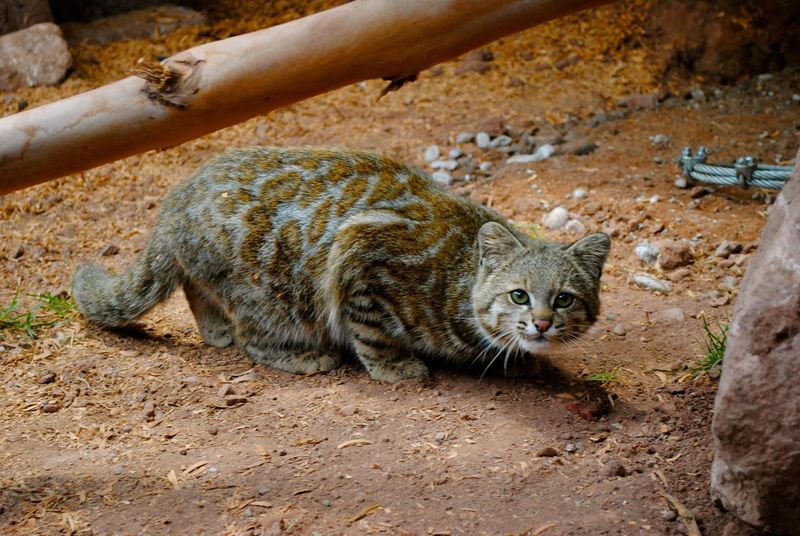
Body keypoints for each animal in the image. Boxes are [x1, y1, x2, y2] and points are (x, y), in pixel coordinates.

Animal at [73, 147, 612, 382]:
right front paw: (393, 366)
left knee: (193, 284)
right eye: (518, 295)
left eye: (564, 299)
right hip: (273, 295)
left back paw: (214, 327)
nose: (541, 323)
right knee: (252, 335)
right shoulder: (360, 253)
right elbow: (372, 330)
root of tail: (176, 199)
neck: (458, 277)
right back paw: (299, 355)